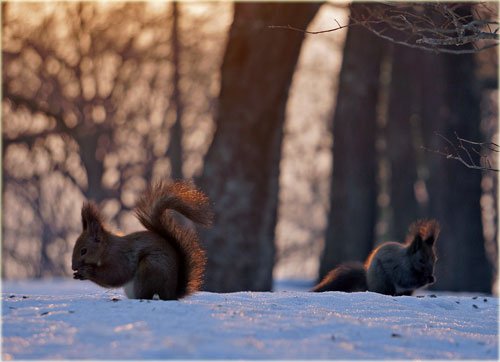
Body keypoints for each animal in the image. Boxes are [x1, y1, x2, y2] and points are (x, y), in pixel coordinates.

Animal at [70, 180, 211, 302]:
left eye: (83, 251)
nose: (73, 267)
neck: (107, 248)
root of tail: (171, 294)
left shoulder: (119, 258)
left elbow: (115, 275)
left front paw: (86, 272)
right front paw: (79, 275)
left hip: (148, 269)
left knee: (146, 294)